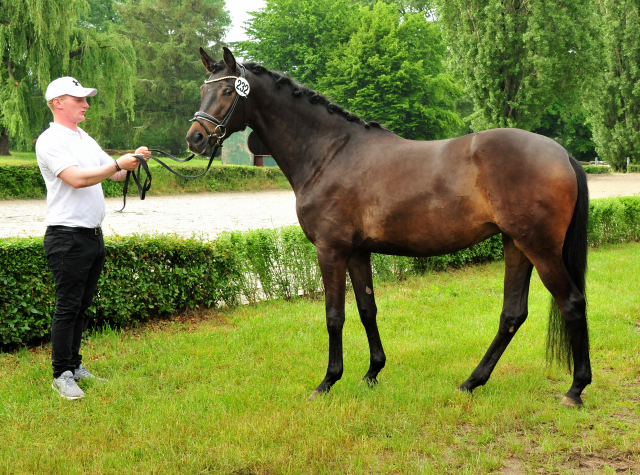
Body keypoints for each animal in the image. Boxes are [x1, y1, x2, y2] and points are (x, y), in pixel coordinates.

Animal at [188, 46, 592, 408]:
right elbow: (367, 310)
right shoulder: (357, 252)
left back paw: (575, 390)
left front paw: (328, 382)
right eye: (203, 90)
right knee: (512, 314)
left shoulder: (330, 250)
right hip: (515, 244)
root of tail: (562, 153)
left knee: (571, 303)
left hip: (539, 247)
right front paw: (372, 373)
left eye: (228, 91)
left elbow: (334, 316)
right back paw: (471, 382)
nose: (196, 137)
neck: (330, 153)